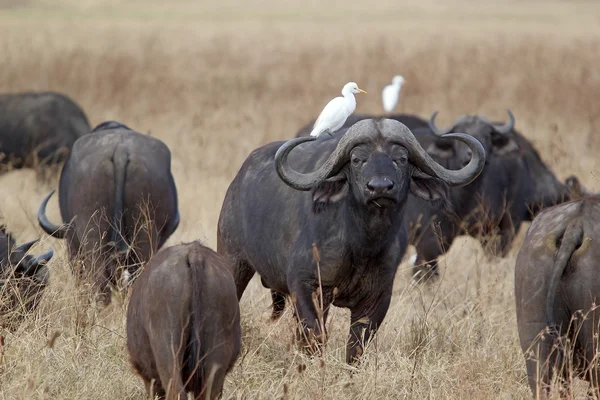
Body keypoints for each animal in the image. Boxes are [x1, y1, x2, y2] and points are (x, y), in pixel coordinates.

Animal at [216, 117, 482, 364]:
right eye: (357, 160)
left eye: (401, 159)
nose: (380, 187)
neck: (361, 243)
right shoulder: (306, 286)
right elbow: (315, 335)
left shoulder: (378, 298)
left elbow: (356, 345)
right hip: (234, 262)